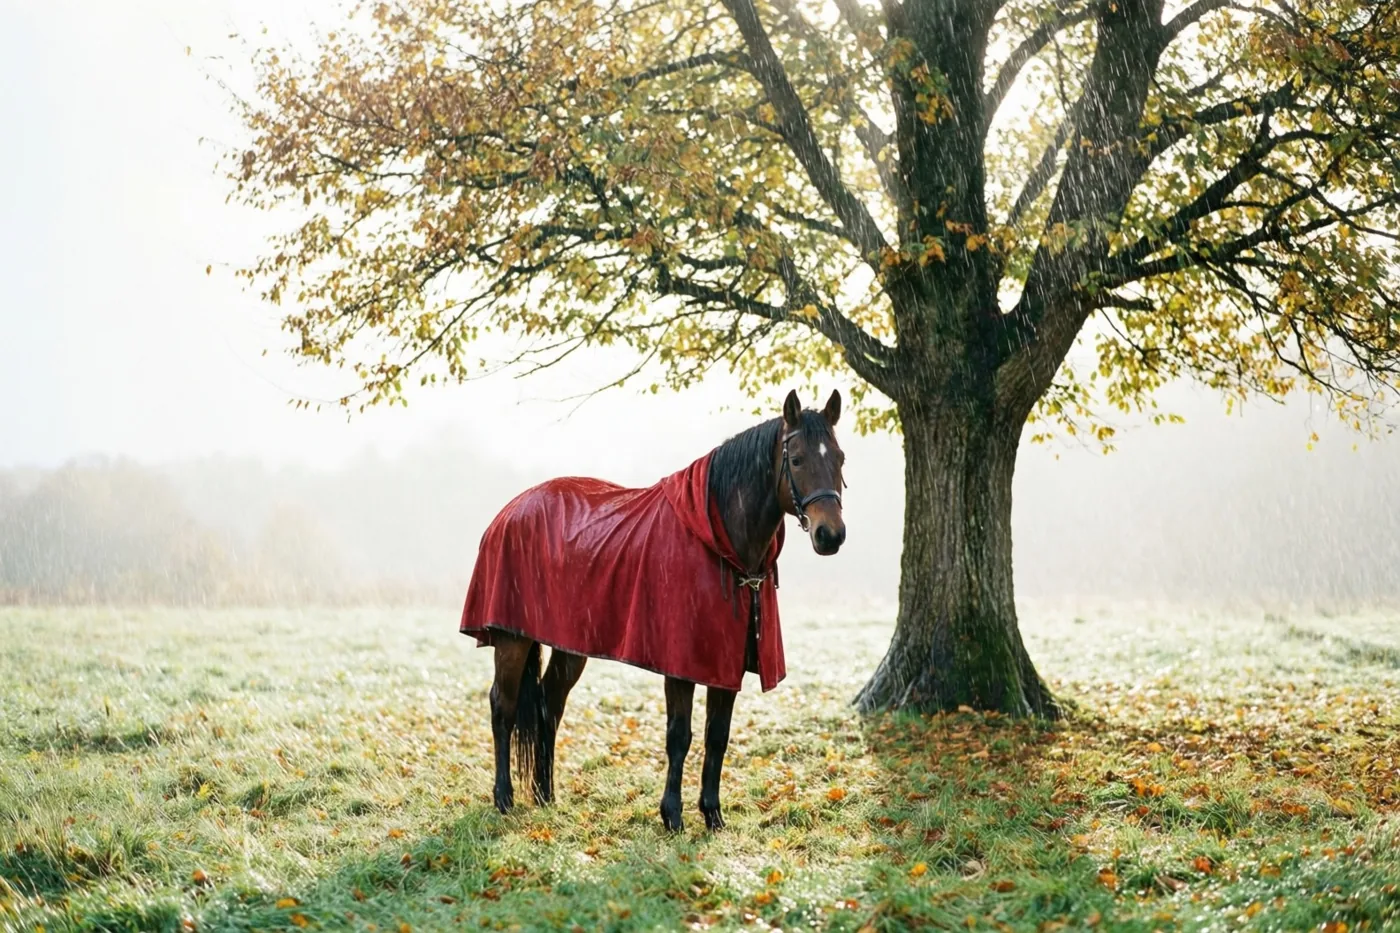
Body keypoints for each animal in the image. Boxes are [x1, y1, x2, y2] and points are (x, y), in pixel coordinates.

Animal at [460, 389, 846, 832]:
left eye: (840, 458)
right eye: (796, 459)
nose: (831, 535)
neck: (720, 544)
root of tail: (510, 509)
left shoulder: (725, 664)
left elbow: (717, 736)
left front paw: (713, 815)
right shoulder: (680, 666)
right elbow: (679, 736)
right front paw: (672, 816)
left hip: (569, 646)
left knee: (549, 704)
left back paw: (545, 795)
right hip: (512, 638)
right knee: (502, 706)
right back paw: (504, 798)